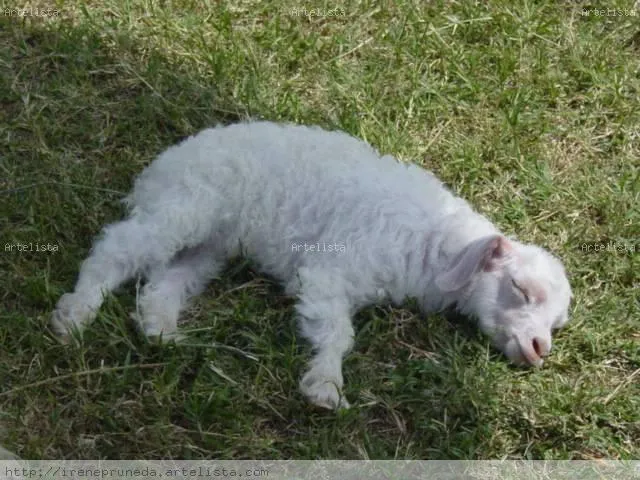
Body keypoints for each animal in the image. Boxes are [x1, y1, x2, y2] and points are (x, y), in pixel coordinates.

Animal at [52, 120, 572, 408]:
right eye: (521, 289)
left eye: (557, 323)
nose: (539, 348)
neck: (437, 239)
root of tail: (156, 170)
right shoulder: (330, 270)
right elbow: (337, 332)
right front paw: (325, 386)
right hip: (188, 206)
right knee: (118, 247)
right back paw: (75, 313)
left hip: (210, 245)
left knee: (167, 279)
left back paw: (160, 329)